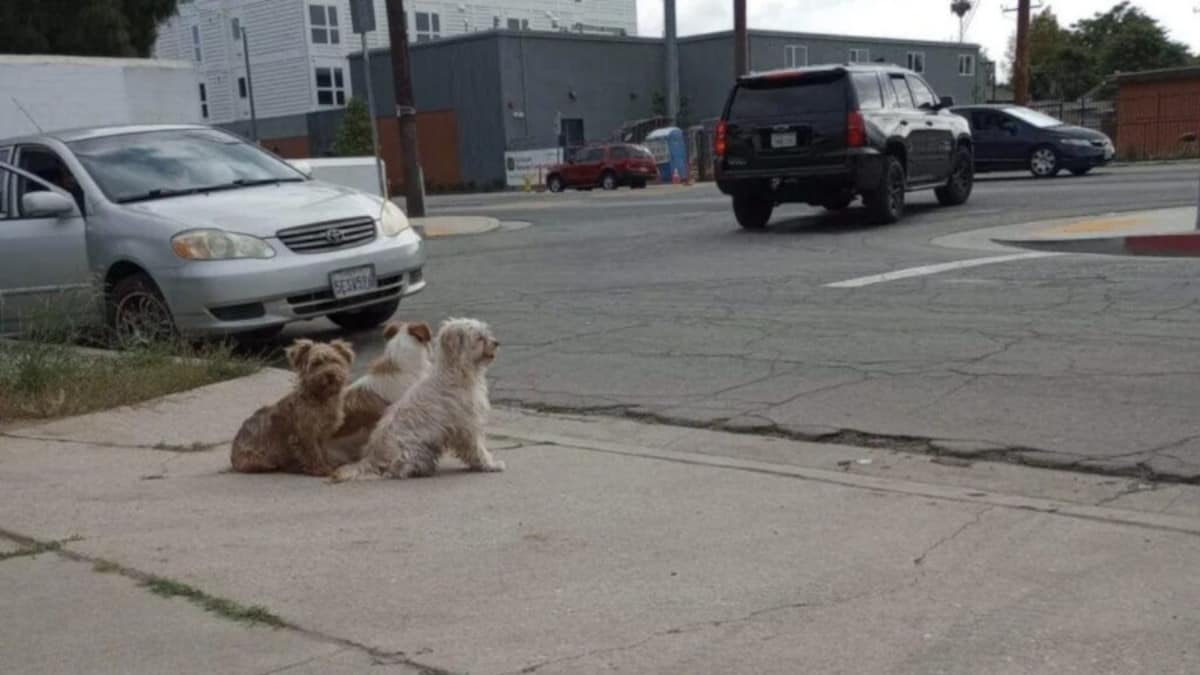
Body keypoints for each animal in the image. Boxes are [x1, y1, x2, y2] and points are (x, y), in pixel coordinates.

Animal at [229, 336, 350, 473]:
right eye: (316, 363)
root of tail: (233, 458)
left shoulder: (322, 432)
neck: (320, 398)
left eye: (335, 361)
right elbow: (313, 451)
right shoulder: (306, 433)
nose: (330, 375)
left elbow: (323, 450)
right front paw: (320, 468)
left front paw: (328, 463)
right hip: (259, 458)